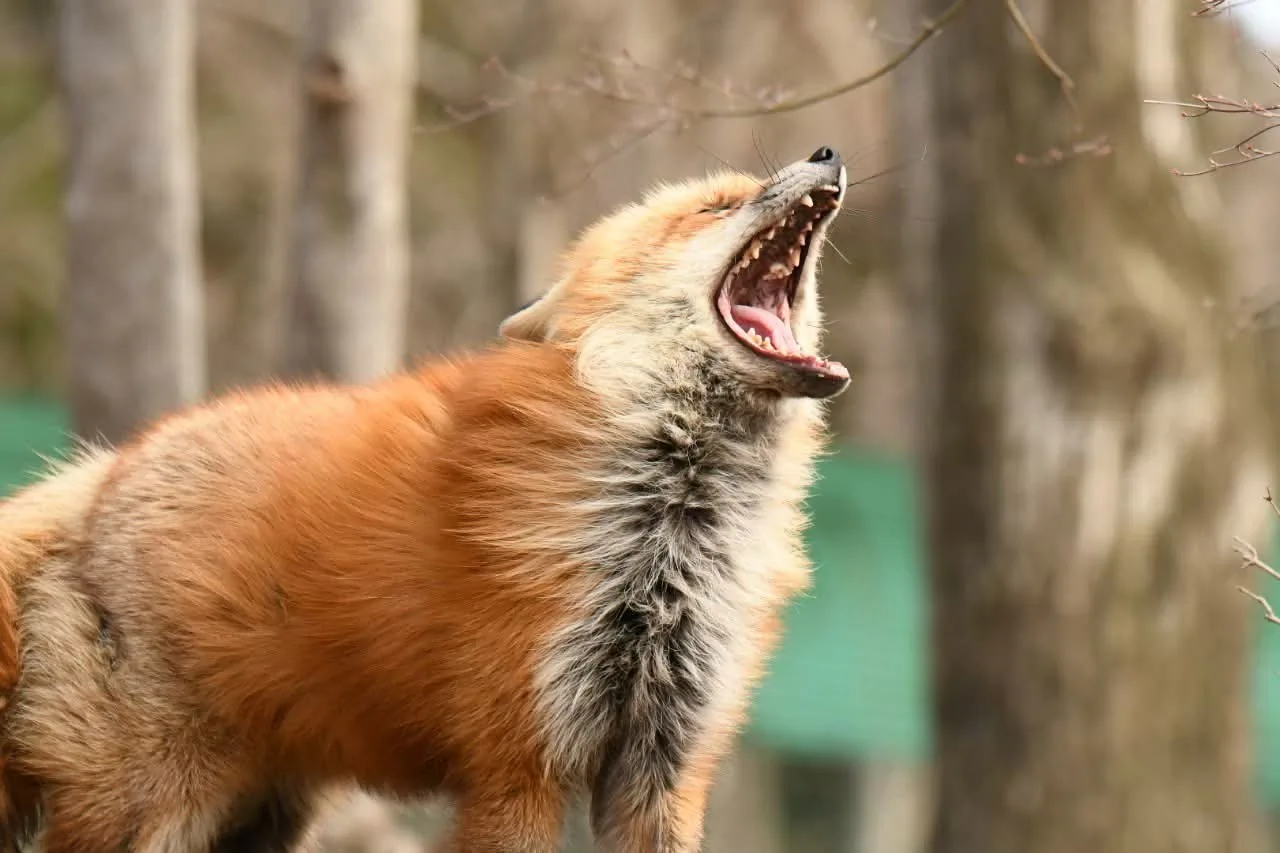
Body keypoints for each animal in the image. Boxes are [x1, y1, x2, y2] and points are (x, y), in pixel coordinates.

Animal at [0, 146, 851, 852]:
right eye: (714, 205)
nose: (826, 152)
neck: (671, 527)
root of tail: (102, 471)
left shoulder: (663, 768)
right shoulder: (517, 767)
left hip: (260, 818)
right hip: (151, 805)